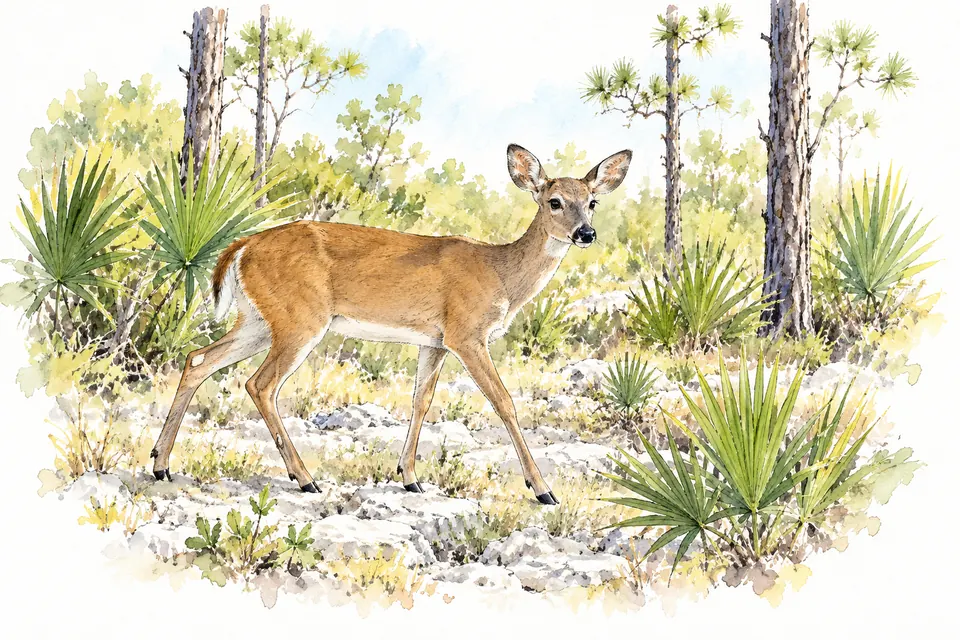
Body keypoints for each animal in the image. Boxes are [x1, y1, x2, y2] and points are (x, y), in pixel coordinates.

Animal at [149, 144, 632, 505]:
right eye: (554, 201)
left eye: (592, 202)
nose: (586, 233)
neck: (499, 273)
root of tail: (243, 247)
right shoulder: (467, 333)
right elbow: (505, 402)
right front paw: (542, 488)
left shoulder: (434, 341)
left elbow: (421, 401)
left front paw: (409, 477)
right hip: (300, 318)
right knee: (259, 383)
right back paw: (304, 478)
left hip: (257, 319)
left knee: (198, 359)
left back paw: (161, 464)